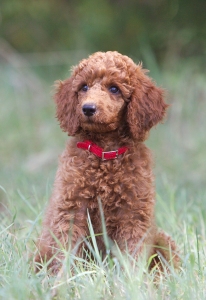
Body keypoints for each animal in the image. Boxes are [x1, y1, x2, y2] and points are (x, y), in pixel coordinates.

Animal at [35, 51, 179, 272]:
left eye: (114, 89)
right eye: (84, 87)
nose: (88, 108)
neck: (104, 154)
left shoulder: (133, 215)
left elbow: (133, 255)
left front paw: (133, 281)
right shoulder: (70, 210)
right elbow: (66, 253)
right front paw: (64, 280)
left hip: (164, 240)